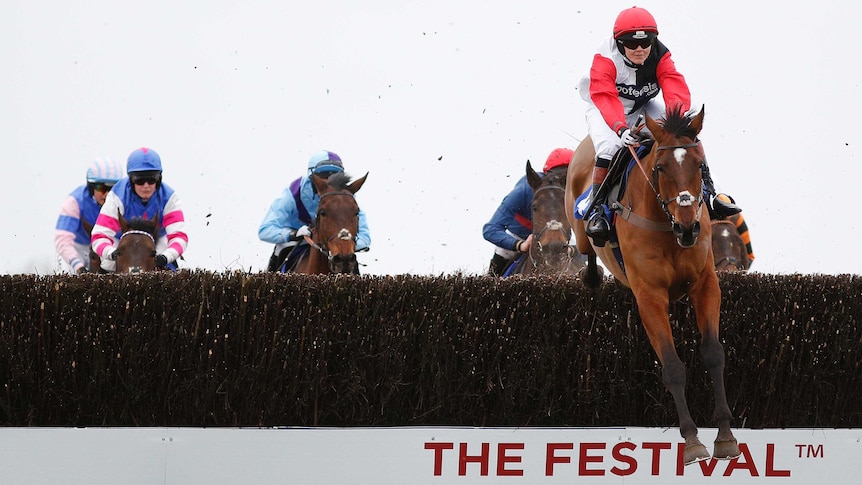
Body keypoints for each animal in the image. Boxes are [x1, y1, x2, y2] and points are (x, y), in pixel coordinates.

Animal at [568, 107, 744, 466]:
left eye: (700, 165)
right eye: (660, 168)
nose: (689, 227)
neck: (666, 226)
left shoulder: (705, 284)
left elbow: (713, 353)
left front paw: (725, 436)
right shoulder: (649, 297)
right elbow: (673, 367)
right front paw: (692, 441)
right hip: (580, 229)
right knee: (585, 248)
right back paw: (591, 265)